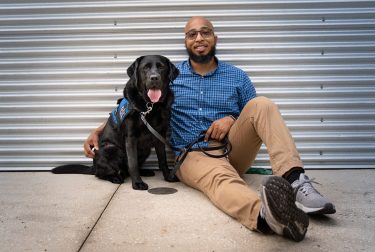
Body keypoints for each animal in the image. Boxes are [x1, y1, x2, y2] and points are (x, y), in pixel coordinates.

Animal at [52, 54, 180, 189]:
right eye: (145, 68)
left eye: (161, 67)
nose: (154, 78)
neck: (151, 106)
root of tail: (93, 166)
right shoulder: (130, 137)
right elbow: (133, 162)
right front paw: (137, 183)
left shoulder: (160, 135)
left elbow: (163, 160)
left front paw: (168, 177)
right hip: (111, 148)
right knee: (102, 173)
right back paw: (115, 177)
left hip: (145, 150)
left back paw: (144, 171)